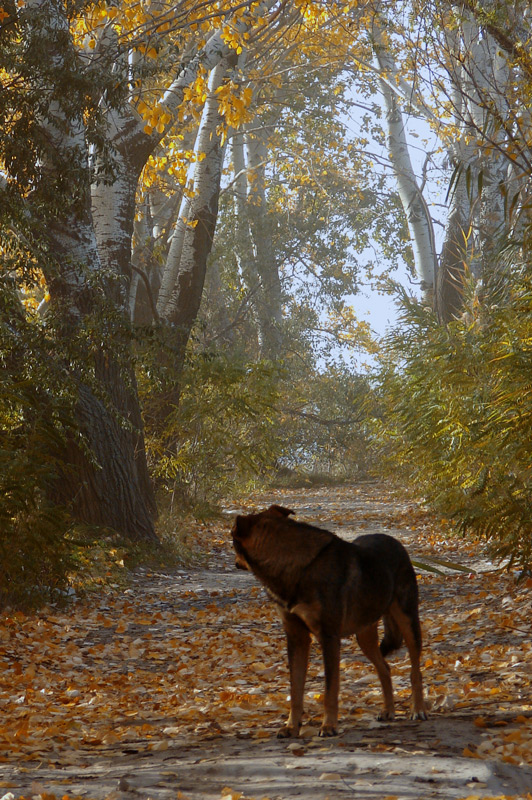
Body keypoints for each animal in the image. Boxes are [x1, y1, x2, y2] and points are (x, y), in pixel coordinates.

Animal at [232, 506, 428, 736]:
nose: (234, 562)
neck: (300, 566)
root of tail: (395, 542)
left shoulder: (329, 637)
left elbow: (330, 689)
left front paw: (329, 725)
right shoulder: (297, 639)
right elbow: (295, 690)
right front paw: (291, 726)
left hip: (408, 623)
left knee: (415, 671)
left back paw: (418, 710)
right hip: (364, 636)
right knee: (385, 669)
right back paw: (388, 710)